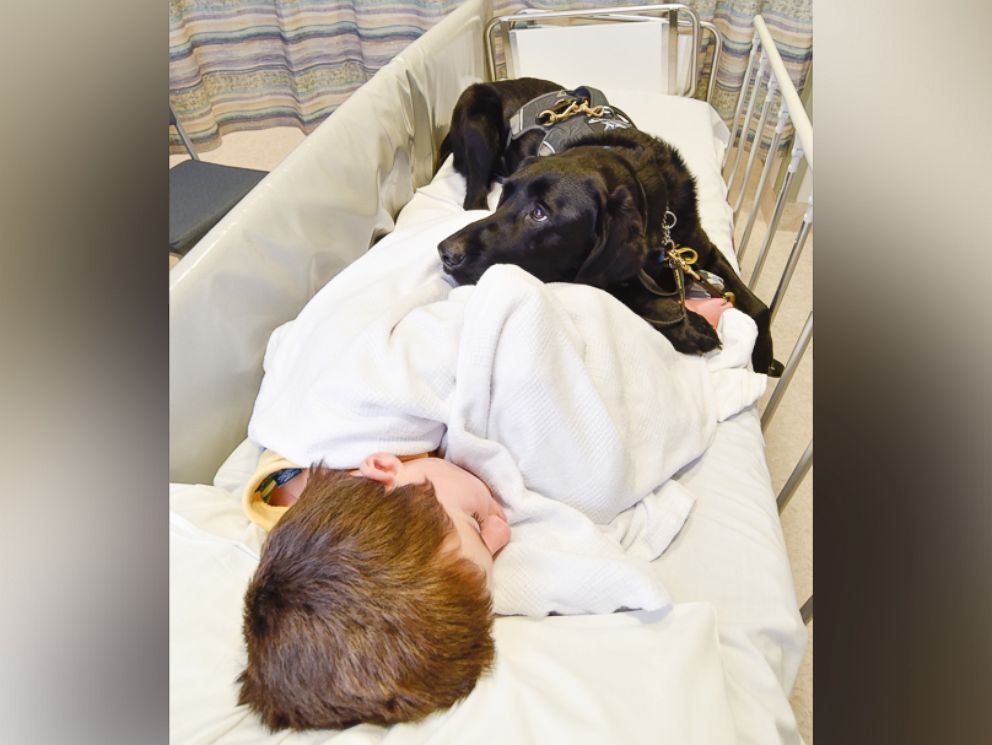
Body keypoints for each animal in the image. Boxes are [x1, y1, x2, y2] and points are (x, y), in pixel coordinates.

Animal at [438, 78, 780, 374]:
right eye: (505, 197)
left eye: (539, 213)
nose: (445, 252)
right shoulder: (588, 274)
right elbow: (627, 291)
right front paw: (685, 325)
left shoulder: (700, 249)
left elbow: (760, 309)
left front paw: (765, 361)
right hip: (477, 119)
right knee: (473, 198)